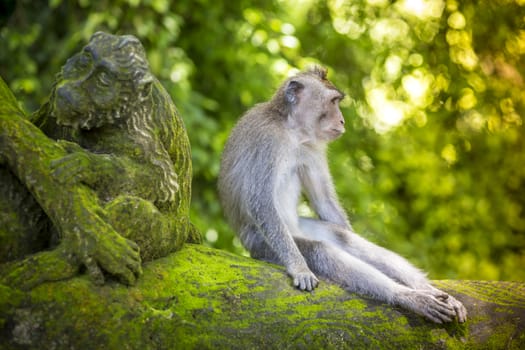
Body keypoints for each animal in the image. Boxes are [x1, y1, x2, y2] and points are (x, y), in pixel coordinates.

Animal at [218, 67, 466, 324]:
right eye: (332, 101)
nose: (342, 120)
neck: (291, 130)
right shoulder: (267, 141)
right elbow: (262, 204)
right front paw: (299, 268)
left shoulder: (313, 148)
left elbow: (324, 201)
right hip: (263, 246)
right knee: (321, 250)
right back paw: (405, 296)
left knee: (344, 239)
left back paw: (426, 290)